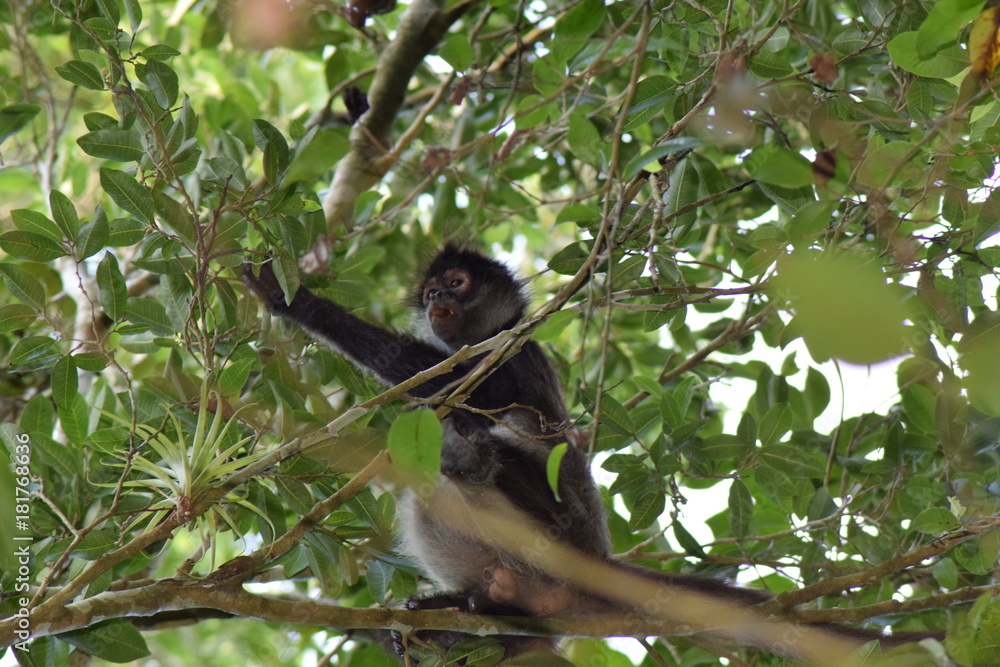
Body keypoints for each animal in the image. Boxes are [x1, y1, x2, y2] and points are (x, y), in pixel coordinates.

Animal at [242, 245, 941, 663]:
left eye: (457, 284)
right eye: (433, 291)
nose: (439, 300)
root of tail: (595, 561)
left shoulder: (513, 350)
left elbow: (446, 386)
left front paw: (288, 297)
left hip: (553, 535)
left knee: (474, 450)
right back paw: (472, 610)